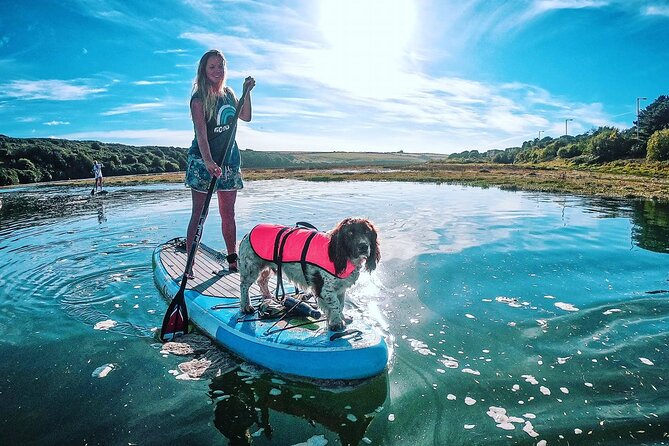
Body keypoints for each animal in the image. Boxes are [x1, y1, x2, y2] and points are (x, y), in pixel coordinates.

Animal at [237, 218, 378, 330]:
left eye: (367, 232)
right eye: (350, 233)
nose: (363, 246)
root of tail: (247, 233)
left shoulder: (340, 287)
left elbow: (341, 304)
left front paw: (343, 318)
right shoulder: (324, 289)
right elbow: (335, 305)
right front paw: (336, 323)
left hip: (267, 266)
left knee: (262, 281)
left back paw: (268, 297)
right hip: (251, 268)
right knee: (244, 286)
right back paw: (246, 306)